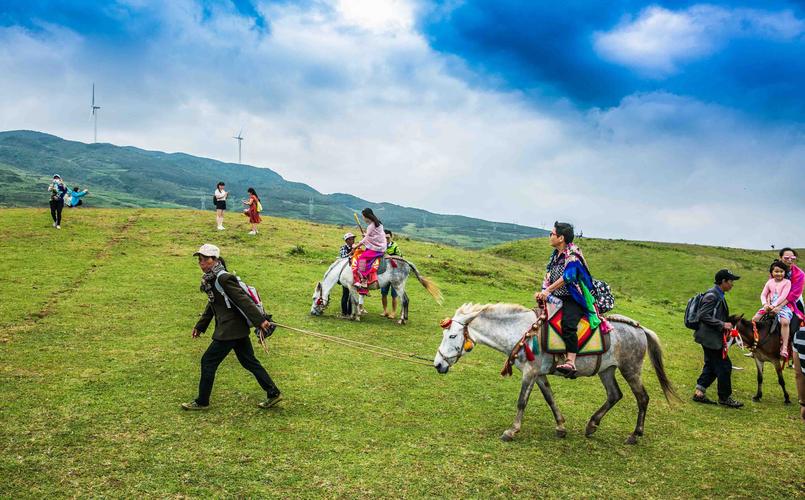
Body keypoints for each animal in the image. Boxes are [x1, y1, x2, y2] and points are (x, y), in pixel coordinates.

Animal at [310, 258, 442, 324]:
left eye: (314, 298)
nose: (312, 312)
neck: (342, 269)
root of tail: (406, 263)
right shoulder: (352, 288)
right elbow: (353, 301)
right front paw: (353, 315)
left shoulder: (351, 287)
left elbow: (355, 302)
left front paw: (356, 316)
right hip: (400, 286)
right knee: (406, 300)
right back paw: (404, 317)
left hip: (397, 286)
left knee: (404, 300)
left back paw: (401, 320)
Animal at [430, 302, 676, 444]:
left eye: (452, 336)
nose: (438, 364)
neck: (522, 331)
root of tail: (640, 329)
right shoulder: (539, 374)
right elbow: (550, 398)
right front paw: (560, 427)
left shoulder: (530, 372)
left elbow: (522, 401)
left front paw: (512, 431)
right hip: (606, 370)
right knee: (615, 394)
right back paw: (591, 425)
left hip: (631, 369)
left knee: (642, 398)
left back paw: (635, 435)